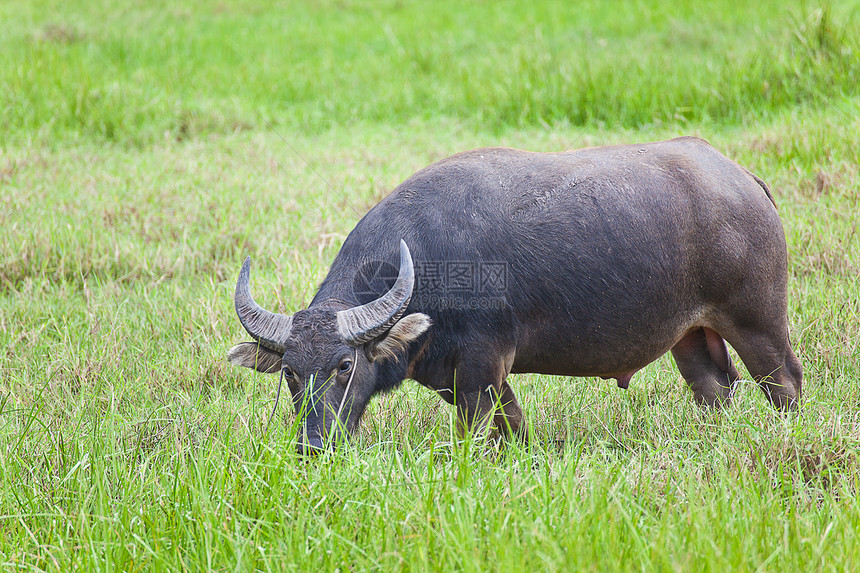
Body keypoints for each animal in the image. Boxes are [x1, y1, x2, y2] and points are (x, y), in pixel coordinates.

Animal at [227, 137, 800, 452]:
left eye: (345, 365)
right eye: (289, 372)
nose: (312, 446)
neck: (431, 264)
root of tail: (742, 178)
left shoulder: (482, 366)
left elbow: (475, 435)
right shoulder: (468, 377)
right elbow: (515, 427)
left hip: (759, 322)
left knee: (785, 383)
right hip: (691, 334)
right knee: (714, 386)